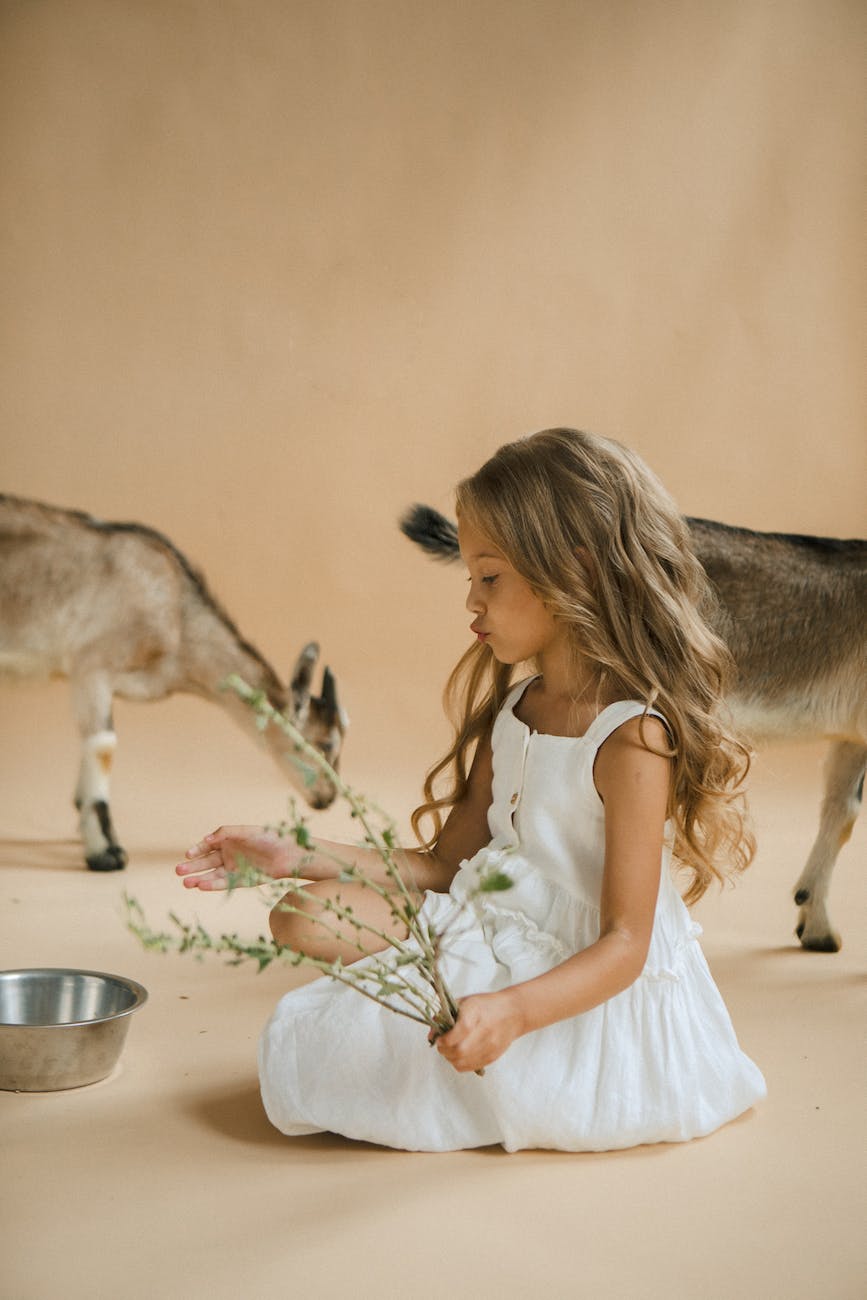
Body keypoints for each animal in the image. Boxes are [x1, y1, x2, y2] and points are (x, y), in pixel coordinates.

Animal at [0, 496, 345, 873]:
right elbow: (103, 746)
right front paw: (105, 852)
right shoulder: (92, 667)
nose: (328, 798)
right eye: (326, 743)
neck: (177, 615)